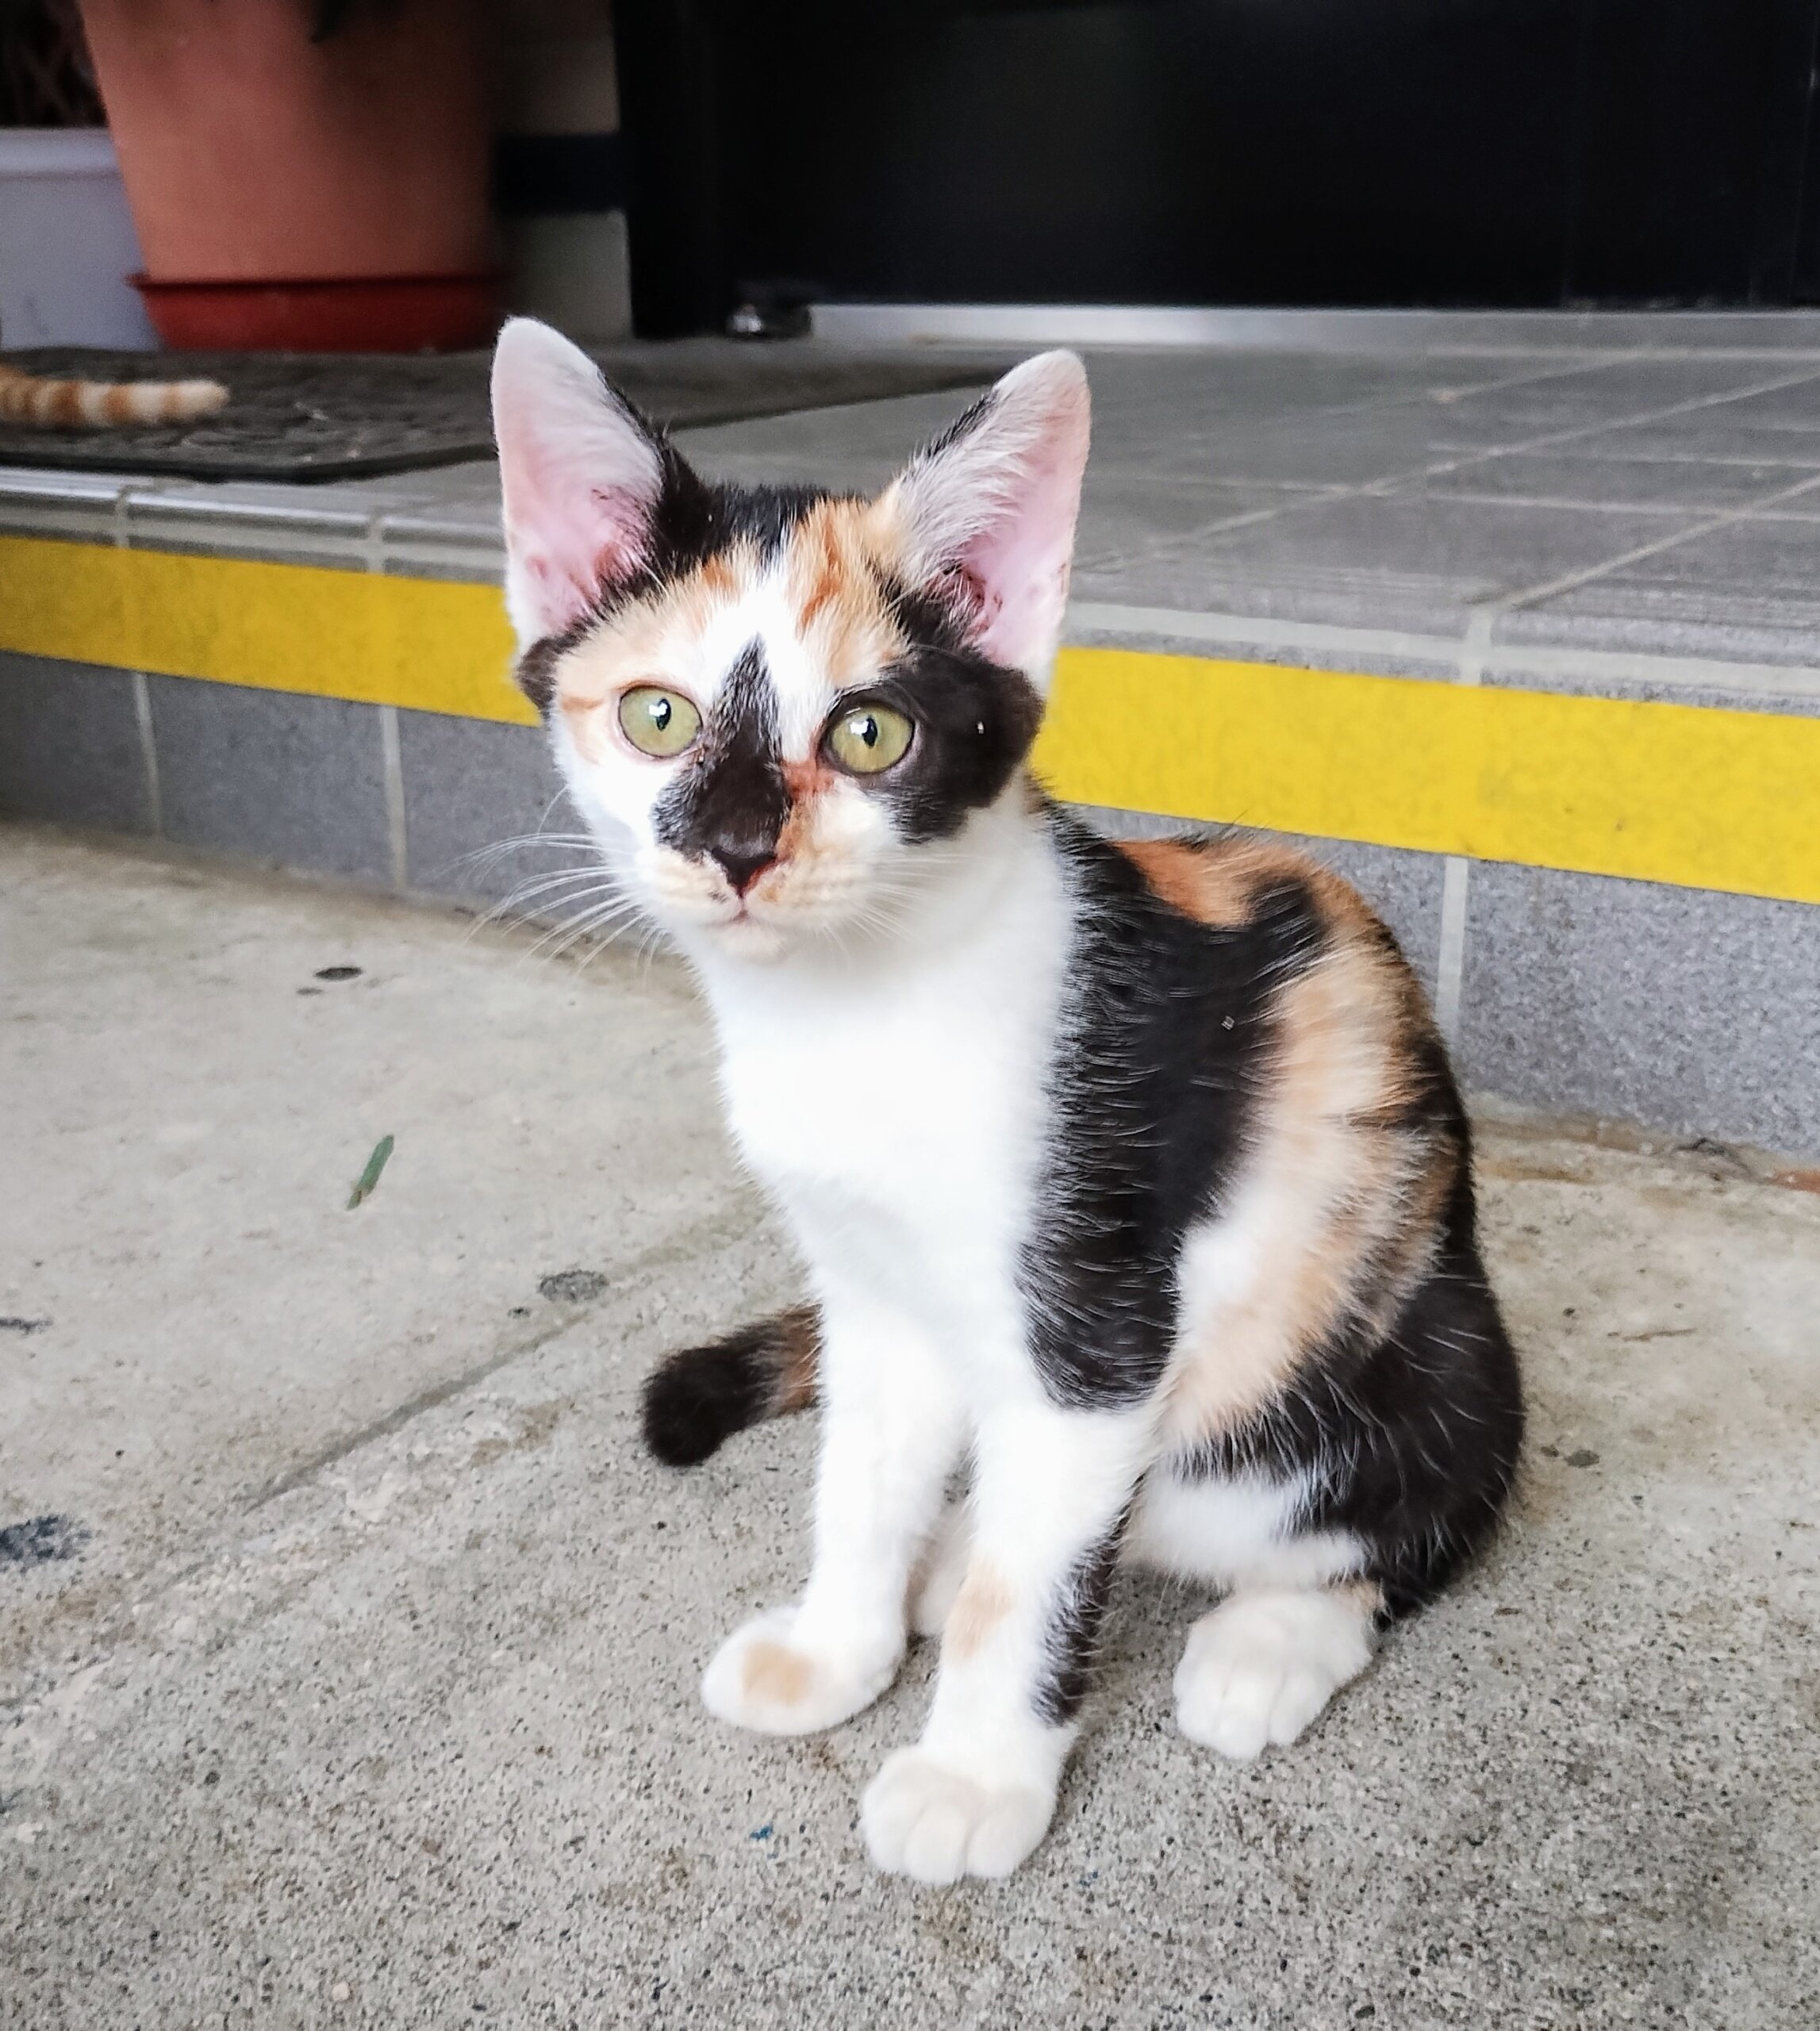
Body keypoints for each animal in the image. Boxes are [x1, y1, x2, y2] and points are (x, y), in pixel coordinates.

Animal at [487, 317, 1519, 1884]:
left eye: (869, 736)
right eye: (655, 717)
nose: (734, 849)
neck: (859, 1008)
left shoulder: (1098, 1327)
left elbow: (1033, 1587)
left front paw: (973, 1775)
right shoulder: (872, 1289)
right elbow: (857, 1477)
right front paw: (837, 1648)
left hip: (1374, 1376)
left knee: (1406, 1521)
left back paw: (1269, 1641)